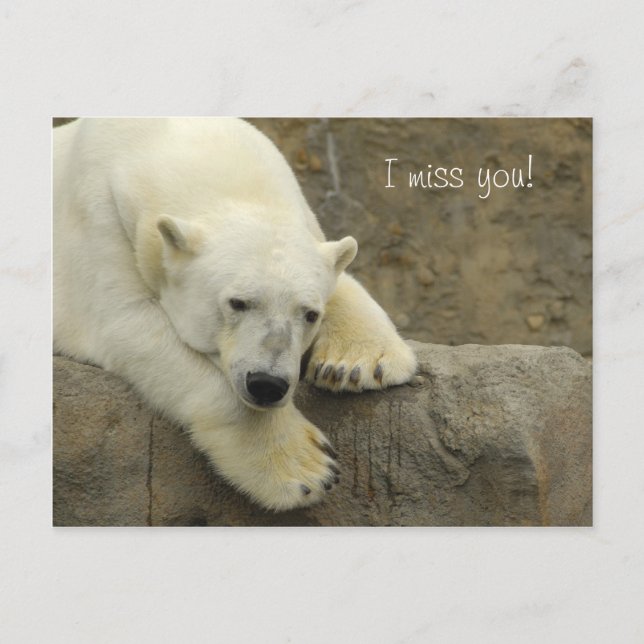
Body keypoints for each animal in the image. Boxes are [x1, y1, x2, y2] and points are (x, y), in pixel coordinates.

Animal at [53, 118, 417, 511]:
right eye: (238, 303)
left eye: (309, 314)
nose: (267, 383)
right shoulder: (99, 218)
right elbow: (127, 323)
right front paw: (306, 468)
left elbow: (340, 274)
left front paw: (358, 362)